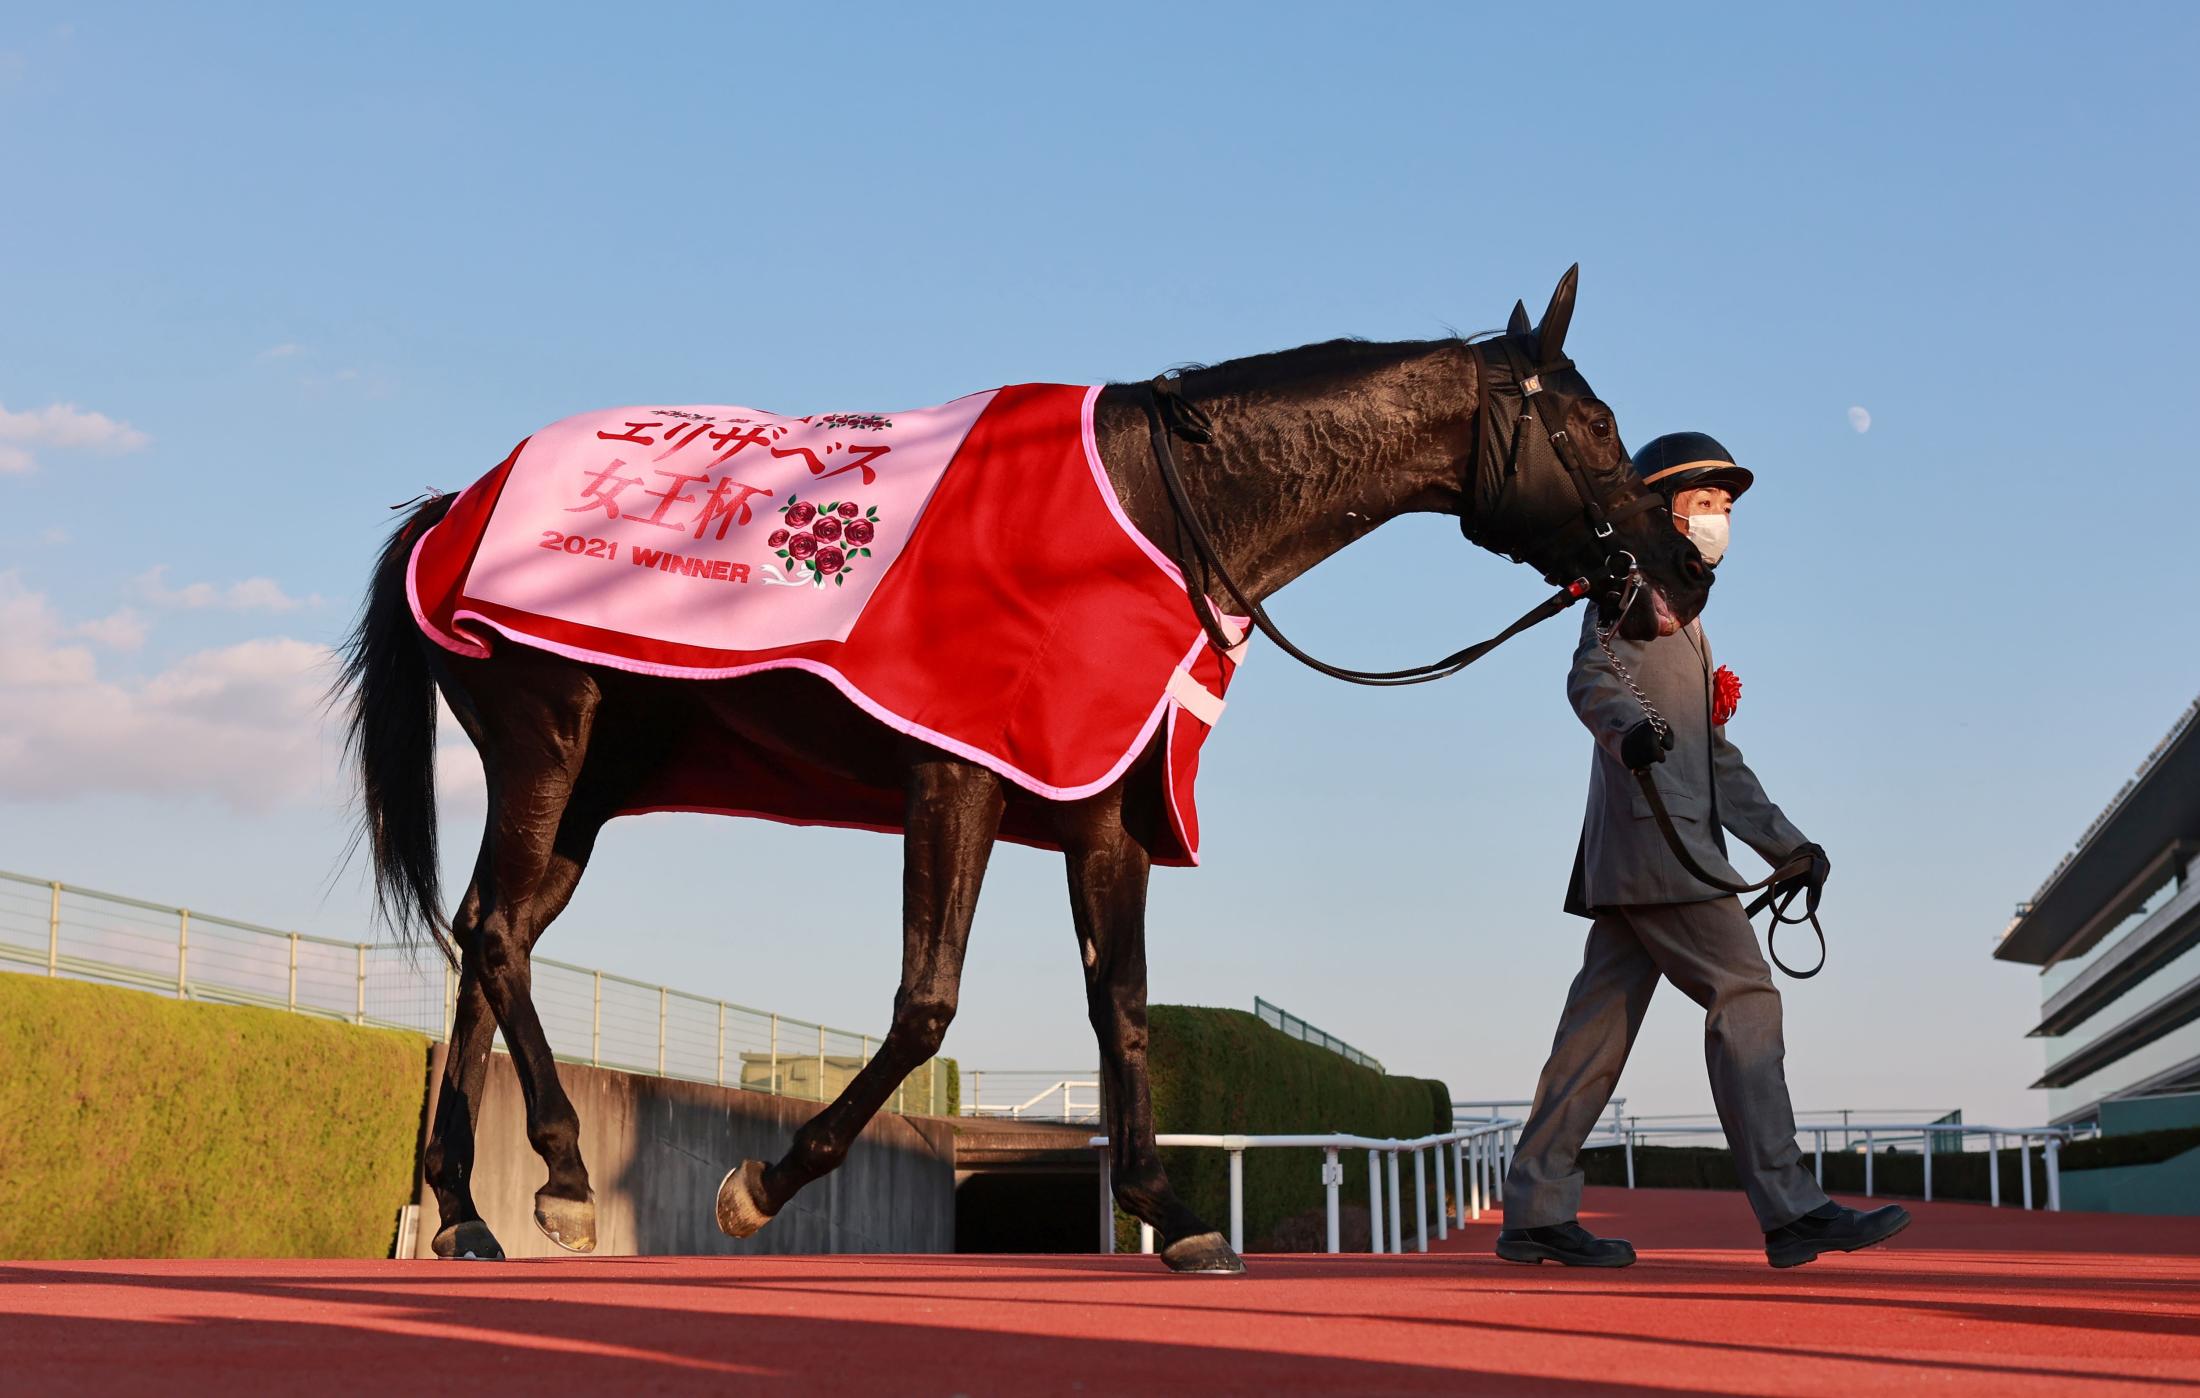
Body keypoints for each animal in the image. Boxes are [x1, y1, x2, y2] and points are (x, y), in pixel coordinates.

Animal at [347, 267, 1716, 1276]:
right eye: (1594, 426)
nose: (1683, 575)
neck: (1152, 512)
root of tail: (453, 504)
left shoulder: (1099, 805)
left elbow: (1125, 1009)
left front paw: (1171, 1209)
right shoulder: (956, 771)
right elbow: (926, 1004)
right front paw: (762, 1182)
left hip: (595, 780)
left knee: (490, 936)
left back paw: (465, 1211)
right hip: (547, 735)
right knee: (502, 936)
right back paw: (568, 1177)